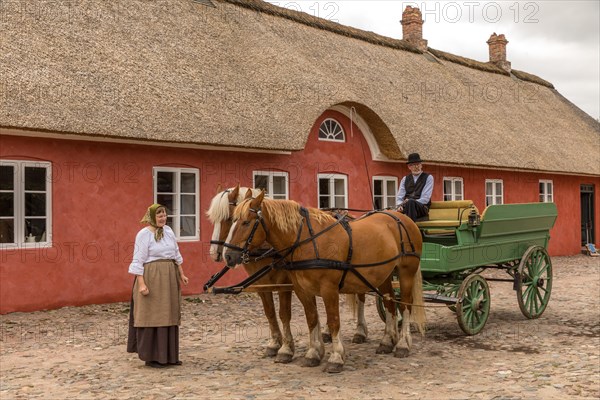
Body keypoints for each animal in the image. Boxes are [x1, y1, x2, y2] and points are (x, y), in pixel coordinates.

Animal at [225, 191, 426, 372]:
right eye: (232, 220)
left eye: (246, 222)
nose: (228, 256)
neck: (307, 241)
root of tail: (401, 217)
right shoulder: (302, 290)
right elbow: (312, 318)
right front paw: (313, 353)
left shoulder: (329, 289)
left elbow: (334, 320)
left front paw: (336, 357)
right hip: (383, 274)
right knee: (390, 302)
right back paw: (387, 342)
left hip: (406, 272)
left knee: (405, 305)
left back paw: (402, 344)